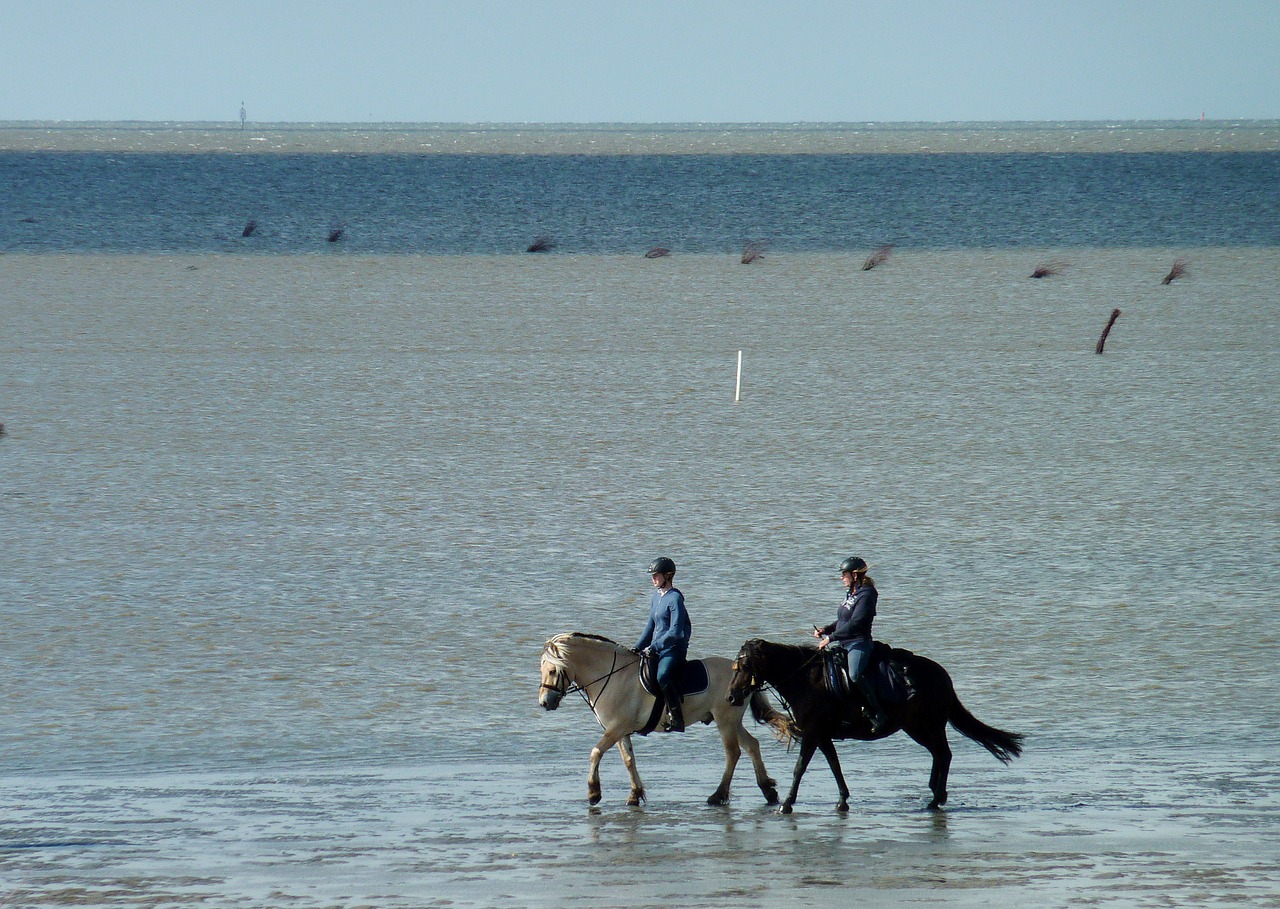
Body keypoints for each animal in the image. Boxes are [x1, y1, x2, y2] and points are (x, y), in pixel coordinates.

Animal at [535, 637, 783, 809]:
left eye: (552, 670)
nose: (544, 702)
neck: (612, 676)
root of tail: (744, 675)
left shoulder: (616, 728)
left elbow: (595, 753)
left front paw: (594, 793)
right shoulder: (621, 730)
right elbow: (629, 760)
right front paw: (634, 795)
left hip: (725, 720)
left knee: (733, 753)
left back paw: (717, 795)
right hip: (733, 721)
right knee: (752, 745)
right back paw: (768, 791)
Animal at [727, 640, 1024, 819]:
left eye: (745, 666)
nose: (731, 696)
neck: (805, 680)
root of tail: (943, 676)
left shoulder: (812, 734)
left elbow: (799, 768)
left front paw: (786, 803)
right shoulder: (822, 735)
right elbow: (835, 765)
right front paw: (842, 800)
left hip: (928, 724)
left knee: (944, 754)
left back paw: (936, 797)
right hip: (915, 727)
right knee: (939, 755)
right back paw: (935, 795)